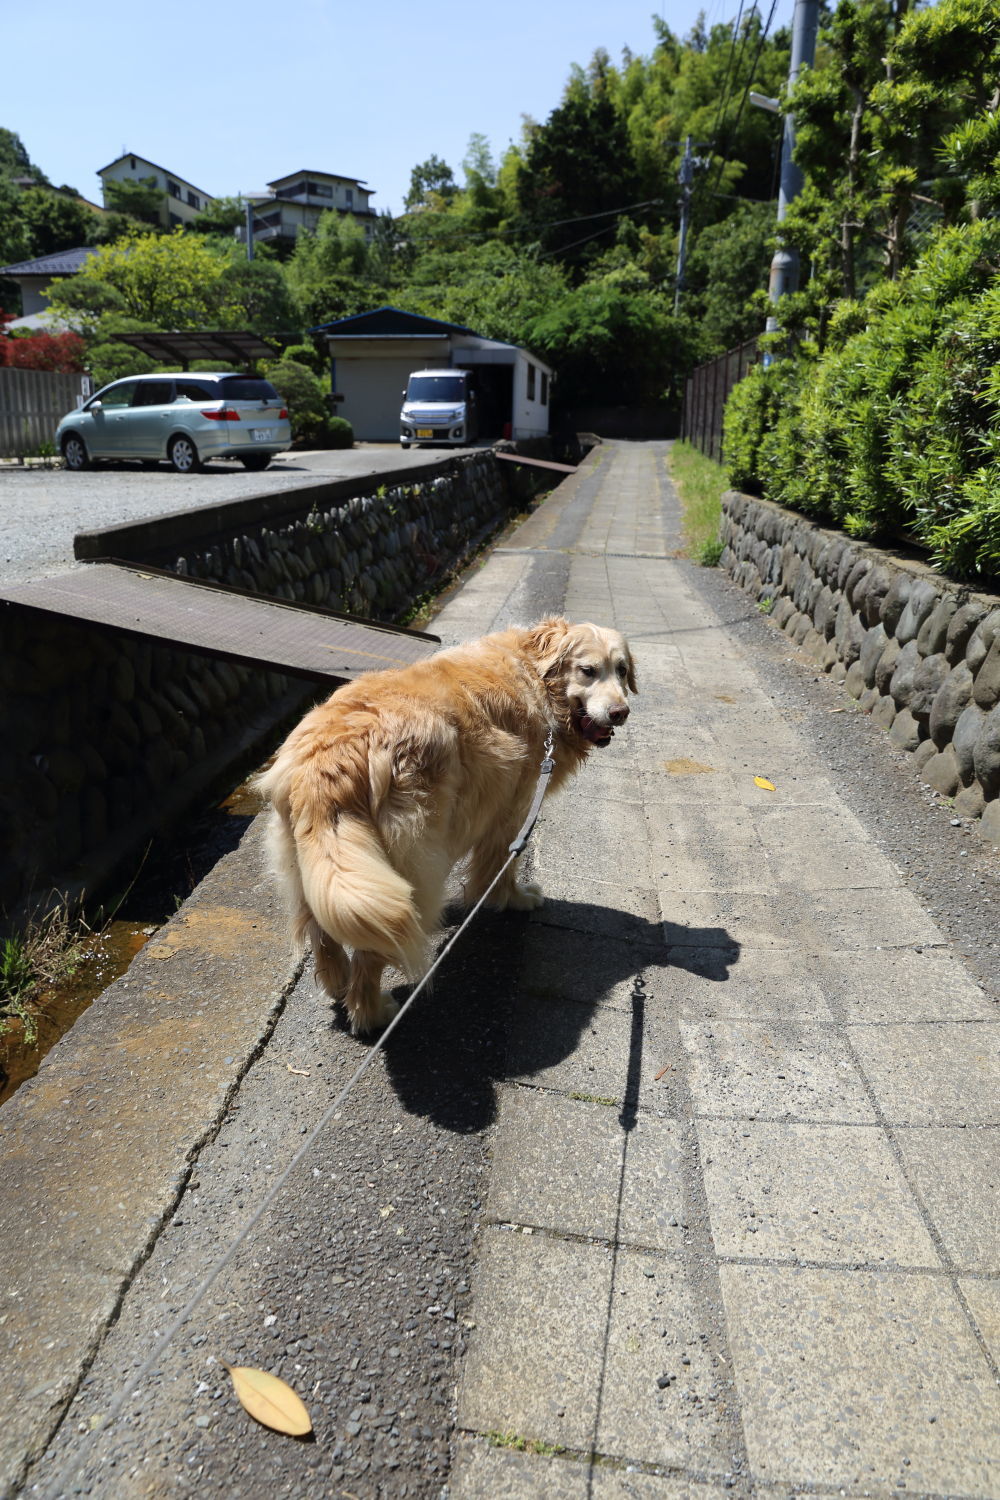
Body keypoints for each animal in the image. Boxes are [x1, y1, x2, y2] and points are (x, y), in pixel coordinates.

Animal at [256, 618, 632, 1032]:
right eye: (588, 671)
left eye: (622, 670)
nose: (621, 712)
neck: (536, 676)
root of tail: (332, 759)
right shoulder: (513, 808)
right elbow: (503, 866)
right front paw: (513, 899)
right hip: (410, 868)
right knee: (374, 949)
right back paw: (372, 1012)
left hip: (319, 861)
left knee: (320, 930)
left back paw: (336, 983)